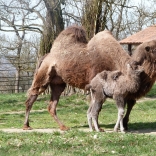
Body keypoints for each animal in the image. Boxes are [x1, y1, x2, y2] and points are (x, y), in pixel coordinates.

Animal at [23, 25, 156, 130]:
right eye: (154, 49)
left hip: (58, 83)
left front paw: (124, 126)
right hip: (44, 73)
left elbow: (130, 103)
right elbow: (98, 107)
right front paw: (99, 128)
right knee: (32, 96)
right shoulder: (98, 85)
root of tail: (45, 56)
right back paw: (26, 126)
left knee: (52, 105)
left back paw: (63, 127)